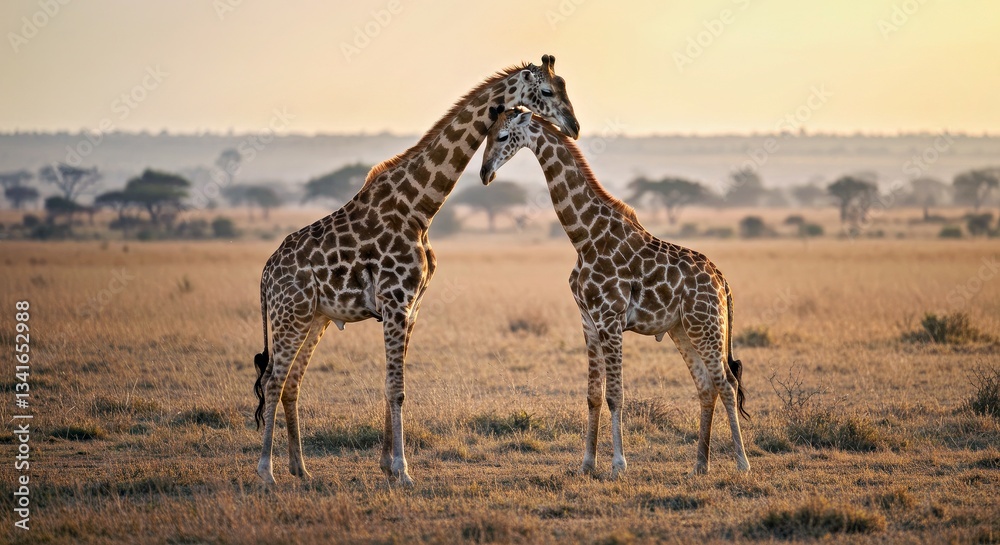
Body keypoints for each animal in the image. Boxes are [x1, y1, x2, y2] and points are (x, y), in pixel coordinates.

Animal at [253, 57, 580, 486]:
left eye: (565, 85)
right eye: (546, 91)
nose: (574, 126)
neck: (419, 207)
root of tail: (265, 276)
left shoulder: (412, 307)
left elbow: (390, 385)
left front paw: (387, 465)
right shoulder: (395, 302)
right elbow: (397, 388)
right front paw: (402, 471)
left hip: (314, 318)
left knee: (292, 381)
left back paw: (300, 468)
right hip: (289, 316)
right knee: (273, 381)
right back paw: (266, 472)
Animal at [480, 109, 750, 479]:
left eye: (504, 136)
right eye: (486, 133)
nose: (484, 173)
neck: (585, 236)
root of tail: (723, 281)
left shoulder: (610, 320)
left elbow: (615, 395)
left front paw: (618, 465)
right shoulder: (588, 322)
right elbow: (593, 395)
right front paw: (587, 463)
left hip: (706, 325)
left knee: (727, 384)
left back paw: (742, 463)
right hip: (682, 329)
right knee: (706, 386)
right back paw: (700, 465)